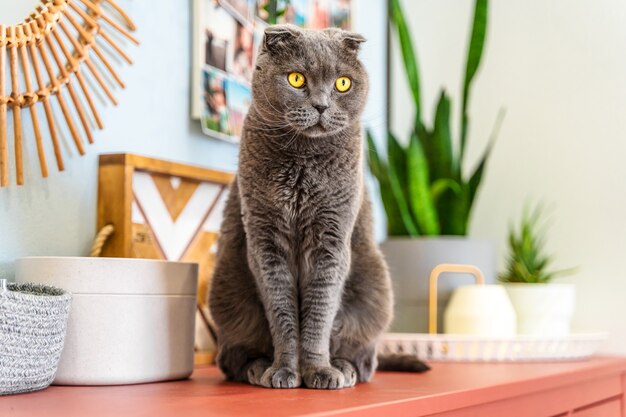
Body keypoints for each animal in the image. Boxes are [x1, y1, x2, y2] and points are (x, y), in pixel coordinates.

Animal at [207, 24, 426, 388]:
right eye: (296, 79)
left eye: (343, 83)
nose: (322, 106)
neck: (303, 161)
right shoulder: (265, 240)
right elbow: (281, 313)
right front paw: (284, 372)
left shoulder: (331, 239)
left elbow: (320, 314)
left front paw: (319, 372)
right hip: (228, 289)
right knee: (233, 358)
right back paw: (257, 368)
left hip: (375, 290)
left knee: (364, 359)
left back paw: (345, 369)